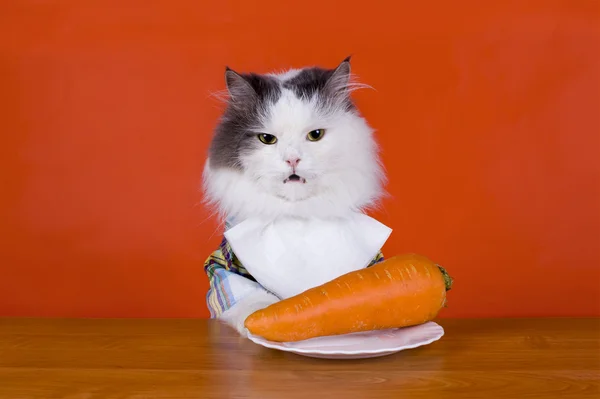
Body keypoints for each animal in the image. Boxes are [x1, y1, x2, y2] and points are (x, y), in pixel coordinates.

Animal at [204, 57, 386, 338]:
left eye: (315, 135)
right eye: (266, 139)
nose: (292, 160)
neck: (297, 216)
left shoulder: (373, 261)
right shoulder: (223, 264)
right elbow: (250, 301)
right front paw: (258, 323)